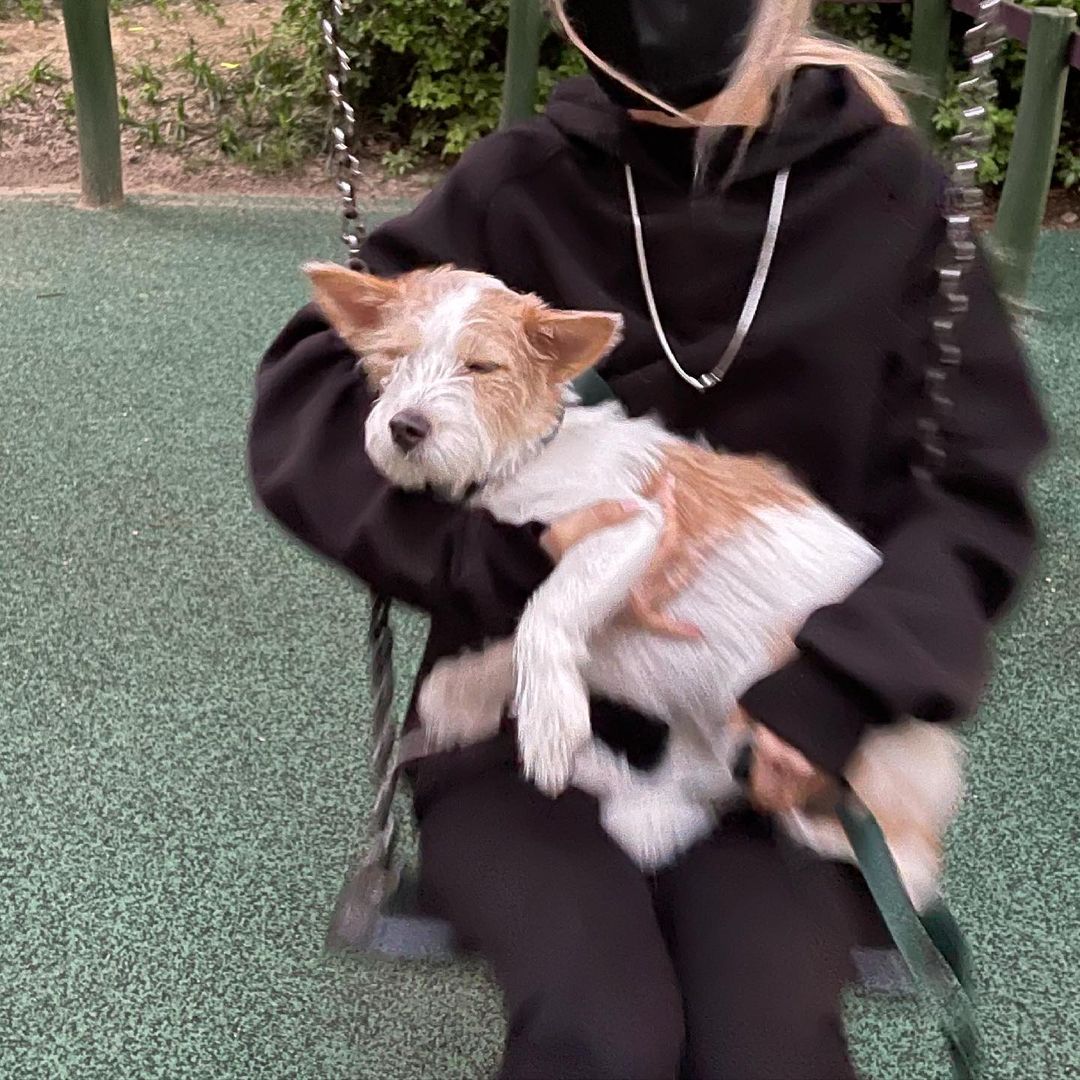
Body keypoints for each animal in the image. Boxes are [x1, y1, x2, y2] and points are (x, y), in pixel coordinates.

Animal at [306, 261, 964, 910]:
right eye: (394, 356)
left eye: (482, 367)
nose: (405, 427)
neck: (526, 460)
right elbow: (520, 630)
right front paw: (472, 693)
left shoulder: (634, 525)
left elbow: (545, 612)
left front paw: (548, 722)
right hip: (710, 728)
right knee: (679, 804)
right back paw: (605, 777)